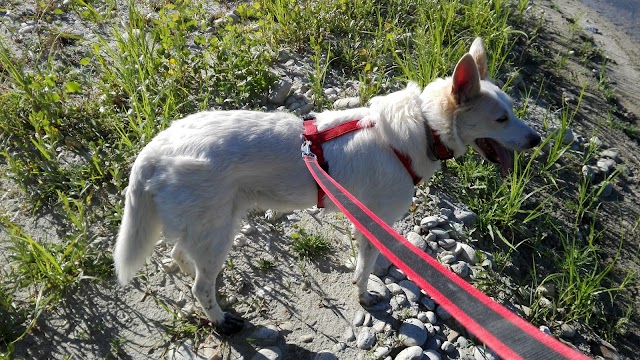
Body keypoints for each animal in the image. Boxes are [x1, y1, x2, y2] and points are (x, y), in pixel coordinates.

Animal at [114, 38, 540, 334]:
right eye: (501, 119)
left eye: (513, 111)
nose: (537, 140)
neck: (424, 127)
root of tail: (154, 150)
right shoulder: (375, 223)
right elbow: (365, 271)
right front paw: (365, 297)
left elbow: (364, 265)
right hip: (217, 230)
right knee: (199, 287)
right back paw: (220, 320)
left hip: (211, 226)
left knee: (181, 257)